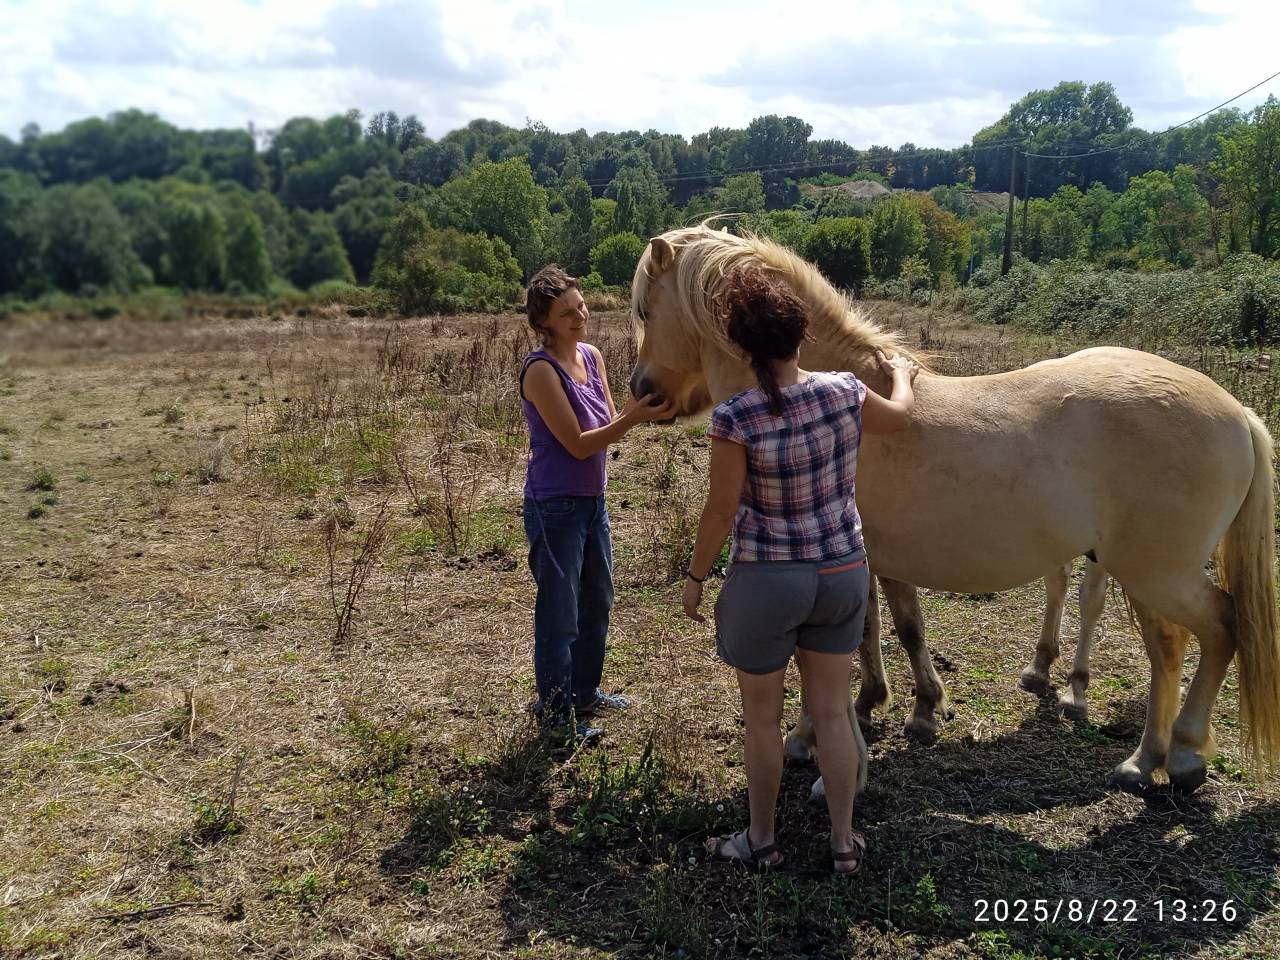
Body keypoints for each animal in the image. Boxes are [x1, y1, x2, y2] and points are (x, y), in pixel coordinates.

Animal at [628, 223, 1280, 793]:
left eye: (645, 312)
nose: (640, 391)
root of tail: (1240, 413)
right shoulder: (868, 565)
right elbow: (882, 631)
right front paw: (879, 709)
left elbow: (862, 643)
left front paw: (821, 736)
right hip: (1141, 573)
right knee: (1168, 647)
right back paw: (1144, 758)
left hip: (1156, 573)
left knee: (1217, 630)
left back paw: (1181, 755)